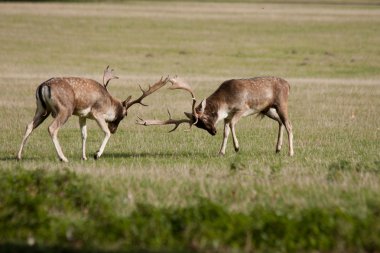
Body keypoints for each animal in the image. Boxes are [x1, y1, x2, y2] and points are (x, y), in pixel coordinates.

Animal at [16, 66, 168, 162]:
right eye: (125, 115)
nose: (114, 130)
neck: (108, 103)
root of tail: (43, 86)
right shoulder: (97, 113)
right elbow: (105, 132)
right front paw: (96, 154)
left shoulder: (82, 115)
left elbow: (84, 134)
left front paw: (84, 157)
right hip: (65, 109)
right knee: (52, 128)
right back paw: (63, 158)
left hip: (42, 109)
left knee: (29, 125)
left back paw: (19, 156)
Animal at [137, 75, 294, 156]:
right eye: (199, 126)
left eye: (205, 117)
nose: (213, 132)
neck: (226, 103)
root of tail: (288, 84)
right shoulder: (227, 117)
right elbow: (226, 132)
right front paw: (221, 152)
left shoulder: (241, 108)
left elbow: (232, 125)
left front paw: (237, 147)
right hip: (268, 109)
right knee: (280, 122)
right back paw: (278, 148)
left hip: (281, 104)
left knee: (289, 125)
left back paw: (290, 152)